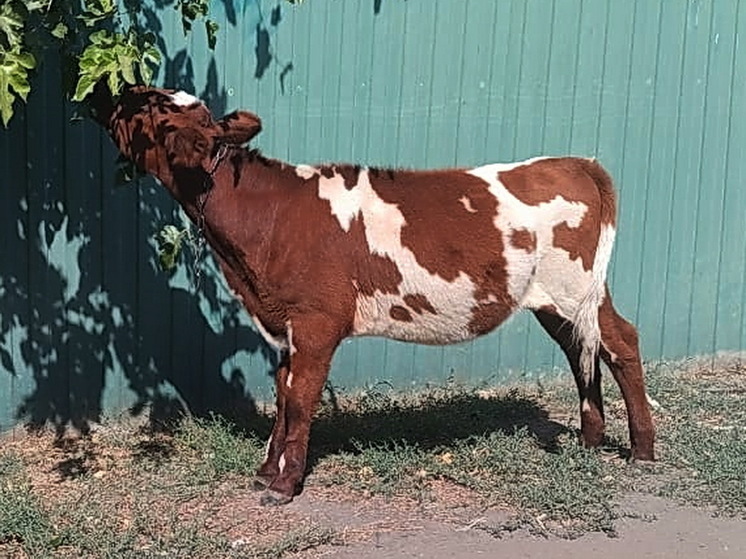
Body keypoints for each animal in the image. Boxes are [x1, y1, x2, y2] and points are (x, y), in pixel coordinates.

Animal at [91, 84, 652, 508]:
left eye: (152, 109)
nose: (112, 91)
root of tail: (572, 162)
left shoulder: (316, 322)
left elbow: (300, 401)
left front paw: (284, 484)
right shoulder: (285, 327)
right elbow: (282, 397)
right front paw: (267, 470)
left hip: (574, 285)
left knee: (621, 341)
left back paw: (642, 451)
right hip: (554, 300)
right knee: (583, 348)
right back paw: (590, 440)